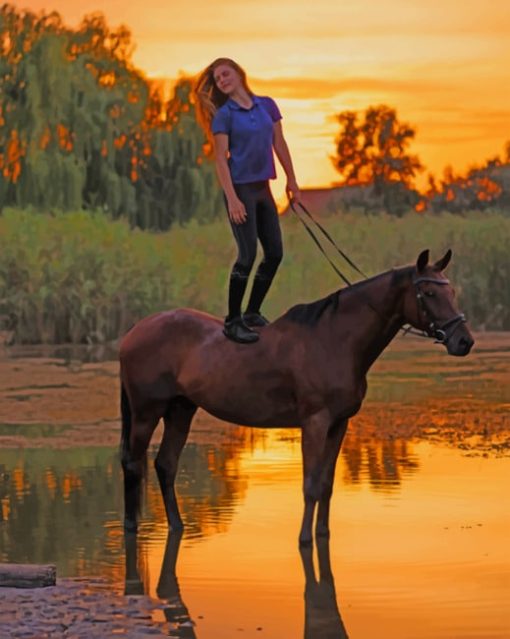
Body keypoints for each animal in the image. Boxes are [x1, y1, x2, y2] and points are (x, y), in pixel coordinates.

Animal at [118, 250, 474, 544]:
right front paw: (305, 539)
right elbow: (310, 484)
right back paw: (131, 527)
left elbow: (326, 484)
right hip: (146, 413)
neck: (333, 339)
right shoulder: (315, 422)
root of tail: (133, 332)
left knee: (165, 465)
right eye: (429, 293)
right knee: (133, 465)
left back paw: (177, 527)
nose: (464, 341)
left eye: (452, 292)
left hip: (180, 410)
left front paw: (323, 534)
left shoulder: (339, 424)